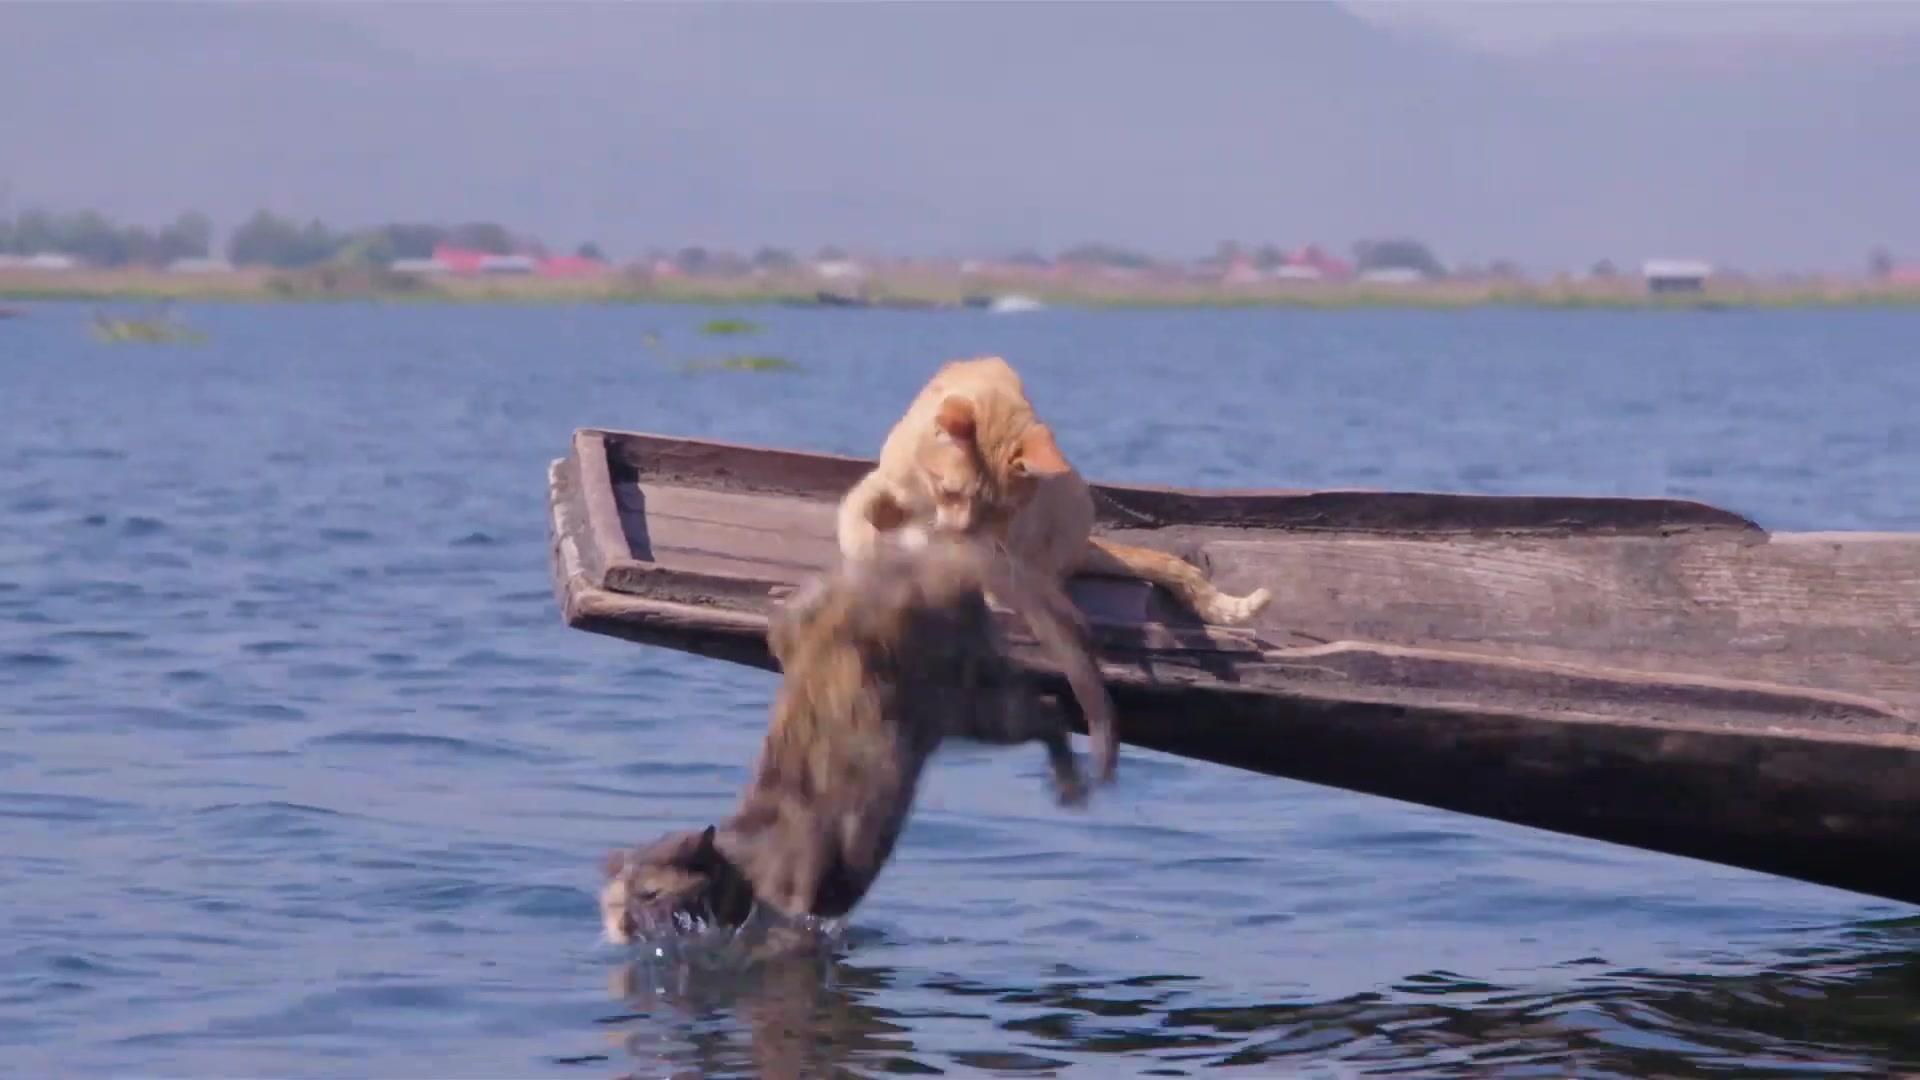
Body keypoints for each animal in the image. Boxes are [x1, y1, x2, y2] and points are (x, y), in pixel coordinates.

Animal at [829, 355, 1267, 622]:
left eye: (998, 512)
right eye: (952, 492)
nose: (962, 531)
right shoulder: (885, 485)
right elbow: (856, 518)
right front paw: (871, 549)